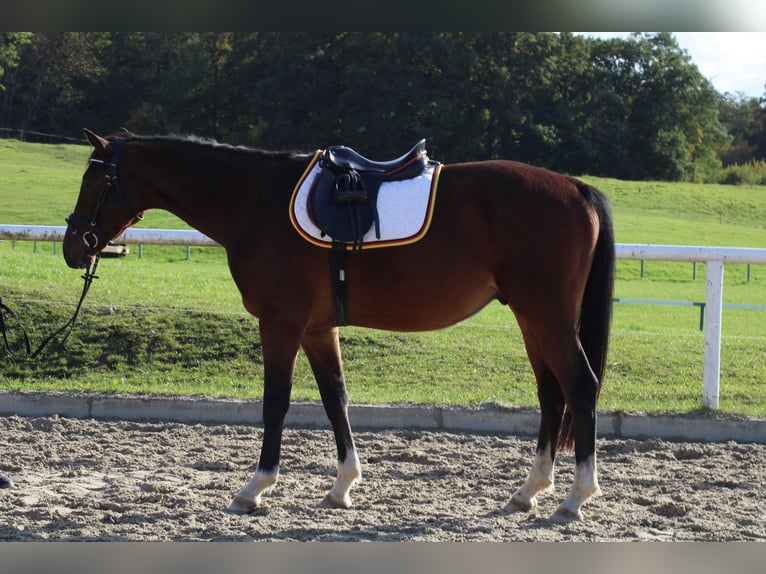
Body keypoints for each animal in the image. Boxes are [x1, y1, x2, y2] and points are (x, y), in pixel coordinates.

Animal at [63, 129, 615, 522]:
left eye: (93, 180)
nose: (73, 247)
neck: (255, 200)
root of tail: (578, 188)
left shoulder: (281, 323)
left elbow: (276, 403)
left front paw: (255, 489)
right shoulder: (316, 328)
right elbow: (336, 399)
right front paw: (343, 486)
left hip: (547, 316)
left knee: (580, 386)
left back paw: (575, 497)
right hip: (531, 318)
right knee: (552, 394)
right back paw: (528, 491)